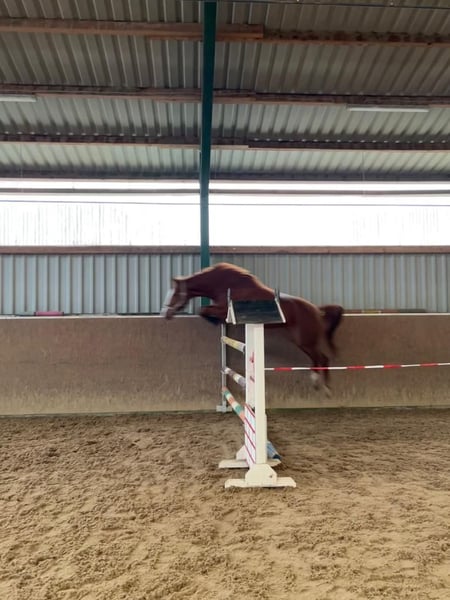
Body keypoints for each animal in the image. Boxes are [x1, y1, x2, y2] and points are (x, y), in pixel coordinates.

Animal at [161, 262, 344, 394]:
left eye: (174, 294)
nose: (165, 314)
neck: (225, 284)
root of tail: (316, 310)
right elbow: (204, 310)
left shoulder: (223, 309)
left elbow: (203, 310)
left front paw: (214, 320)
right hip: (301, 342)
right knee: (317, 359)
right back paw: (316, 383)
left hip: (306, 341)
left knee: (322, 358)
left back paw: (326, 388)